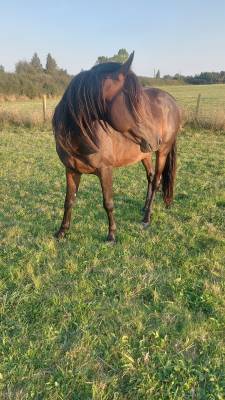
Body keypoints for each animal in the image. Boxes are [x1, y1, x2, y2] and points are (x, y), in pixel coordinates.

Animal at [52, 52, 181, 242]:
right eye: (135, 101)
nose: (156, 138)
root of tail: (172, 102)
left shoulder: (105, 170)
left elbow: (108, 202)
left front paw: (112, 234)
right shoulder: (71, 170)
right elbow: (69, 201)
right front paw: (62, 231)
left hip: (162, 152)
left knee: (157, 180)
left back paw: (146, 218)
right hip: (145, 153)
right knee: (150, 177)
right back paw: (144, 208)